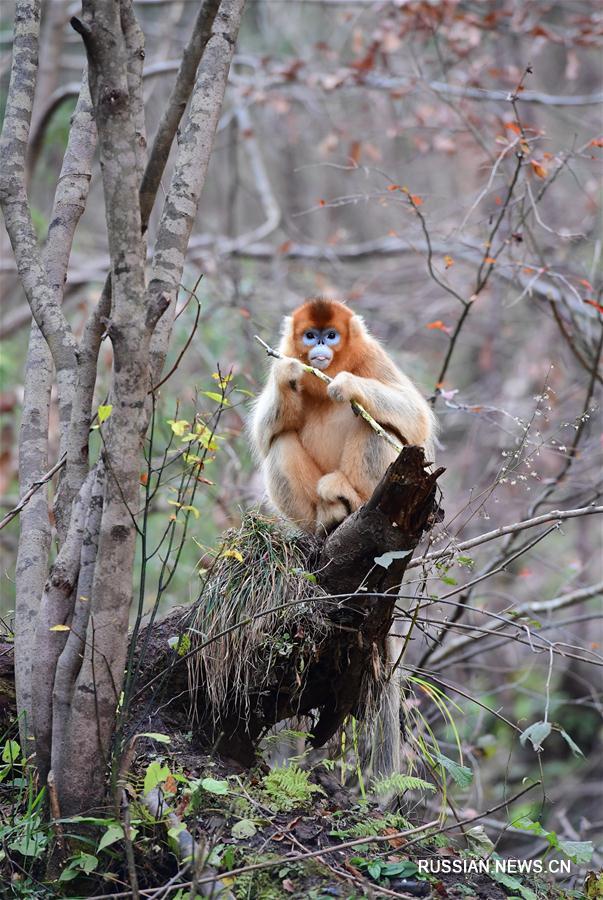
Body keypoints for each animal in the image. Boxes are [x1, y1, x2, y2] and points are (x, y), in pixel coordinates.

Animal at [250, 298, 434, 532]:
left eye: (331, 335)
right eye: (310, 335)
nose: (320, 343)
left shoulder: (372, 354)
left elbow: (418, 417)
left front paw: (347, 384)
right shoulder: (285, 353)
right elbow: (262, 432)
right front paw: (286, 374)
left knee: (376, 427)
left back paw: (354, 499)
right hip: (306, 519)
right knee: (280, 440)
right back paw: (326, 518)